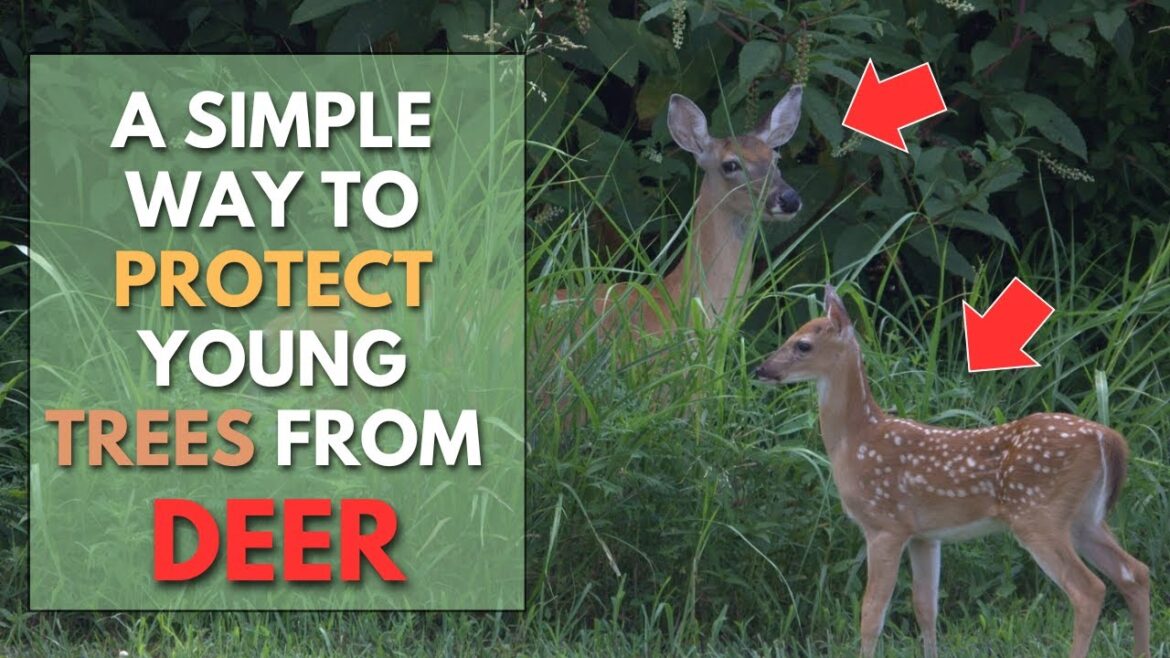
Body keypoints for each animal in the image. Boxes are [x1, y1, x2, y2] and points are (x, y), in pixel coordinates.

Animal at [754, 285, 1150, 658]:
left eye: (803, 344)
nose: (761, 370)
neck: (855, 440)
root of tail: (1109, 438)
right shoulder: (925, 535)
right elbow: (925, 608)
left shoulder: (885, 524)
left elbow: (872, 613)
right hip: (1084, 517)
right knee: (1135, 572)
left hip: (1039, 514)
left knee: (1089, 590)